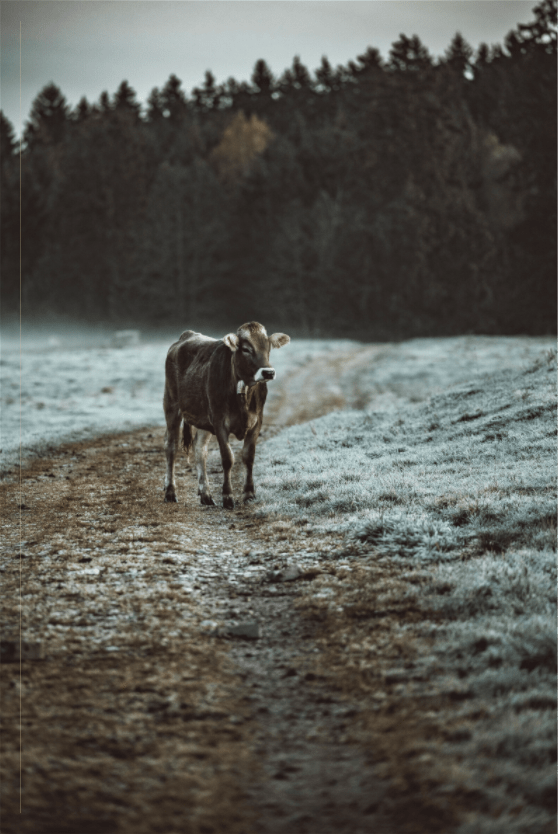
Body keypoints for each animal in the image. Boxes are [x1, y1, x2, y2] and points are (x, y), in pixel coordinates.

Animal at [163, 322, 290, 509]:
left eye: (268, 347)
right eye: (246, 349)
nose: (268, 373)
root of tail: (187, 335)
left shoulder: (257, 421)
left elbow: (248, 456)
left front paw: (249, 494)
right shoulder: (219, 422)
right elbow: (228, 458)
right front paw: (228, 496)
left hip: (203, 418)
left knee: (199, 448)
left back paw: (206, 495)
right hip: (171, 404)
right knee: (171, 446)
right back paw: (170, 491)